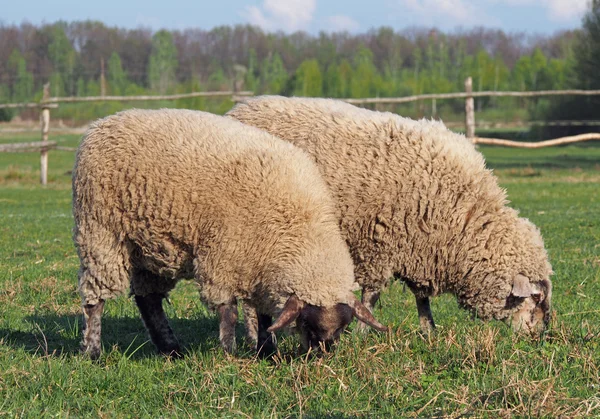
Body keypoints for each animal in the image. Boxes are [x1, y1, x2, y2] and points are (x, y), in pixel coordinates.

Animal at [74, 108, 384, 360]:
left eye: (343, 327)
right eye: (308, 323)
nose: (322, 355)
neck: (295, 222)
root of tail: (103, 122)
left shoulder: (260, 266)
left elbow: (263, 314)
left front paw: (267, 351)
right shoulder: (221, 255)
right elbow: (228, 311)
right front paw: (229, 351)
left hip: (153, 244)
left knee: (148, 298)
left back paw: (170, 348)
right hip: (100, 232)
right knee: (95, 298)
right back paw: (93, 350)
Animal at [229, 96, 552, 338]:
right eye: (536, 297)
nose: (538, 336)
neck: (462, 214)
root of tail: (237, 109)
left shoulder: (420, 248)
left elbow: (421, 298)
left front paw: (429, 330)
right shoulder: (378, 245)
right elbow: (371, 296)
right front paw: (363, 332)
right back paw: (255, 334)